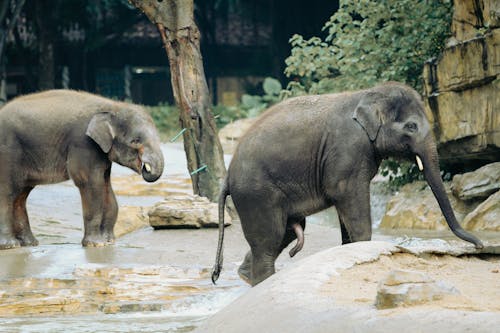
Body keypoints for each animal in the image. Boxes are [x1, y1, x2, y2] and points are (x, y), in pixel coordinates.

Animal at [0, 89, 165, 248]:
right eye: (136, 141)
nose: (146, 168)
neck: (112, 106)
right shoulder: (83, 143)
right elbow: (89, 182)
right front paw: (96, 244)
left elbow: (106, 184)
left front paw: (109, 241)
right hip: (7, 151)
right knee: (8, 192)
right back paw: (11, 245)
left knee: (21, 195)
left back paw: (29, 243)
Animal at [212, 81, 484, 286]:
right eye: (411, 126)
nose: (480, 246)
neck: (367, 93)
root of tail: (227, 176)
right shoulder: (348, 148)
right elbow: (346, 194)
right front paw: (364, 247)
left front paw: (349, 248)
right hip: (256, 193)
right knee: (269, 239)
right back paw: (262, 281)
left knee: (285, 233)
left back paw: (246, 277)